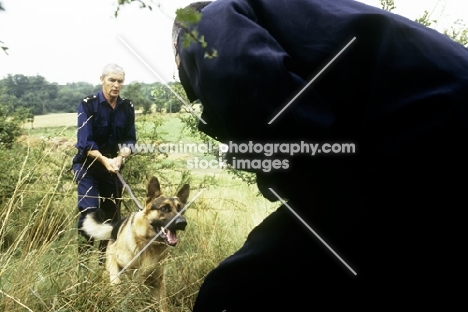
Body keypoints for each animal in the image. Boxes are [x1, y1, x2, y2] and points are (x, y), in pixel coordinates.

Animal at [80, 177, 190, 310]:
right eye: (164, 208)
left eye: (181, 210)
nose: (182, 223)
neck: (149, 243)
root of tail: (115, 225)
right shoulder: (116, 263)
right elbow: (116, 281)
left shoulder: (158, 283)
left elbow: (163, 305)